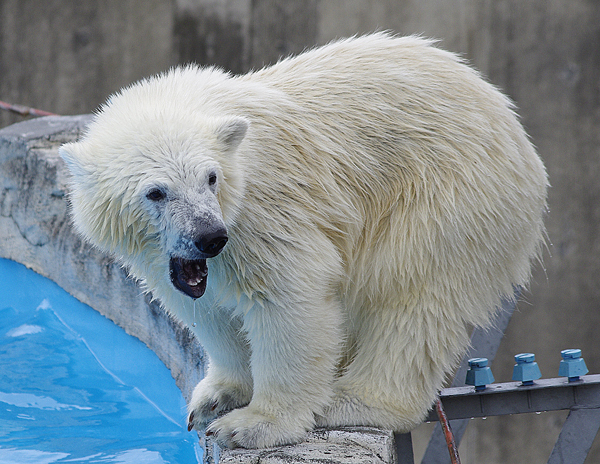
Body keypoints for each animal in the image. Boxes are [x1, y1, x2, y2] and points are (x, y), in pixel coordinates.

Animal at [61, 33, 548, 450]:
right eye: (156, 192)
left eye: (210, 178)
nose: (209, 237)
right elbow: (207, 309)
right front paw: (217, 397)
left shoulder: (265, 208)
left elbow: (289, 296)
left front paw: (251, 425)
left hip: (447, 197)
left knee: (413, 296)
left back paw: (351, 400)